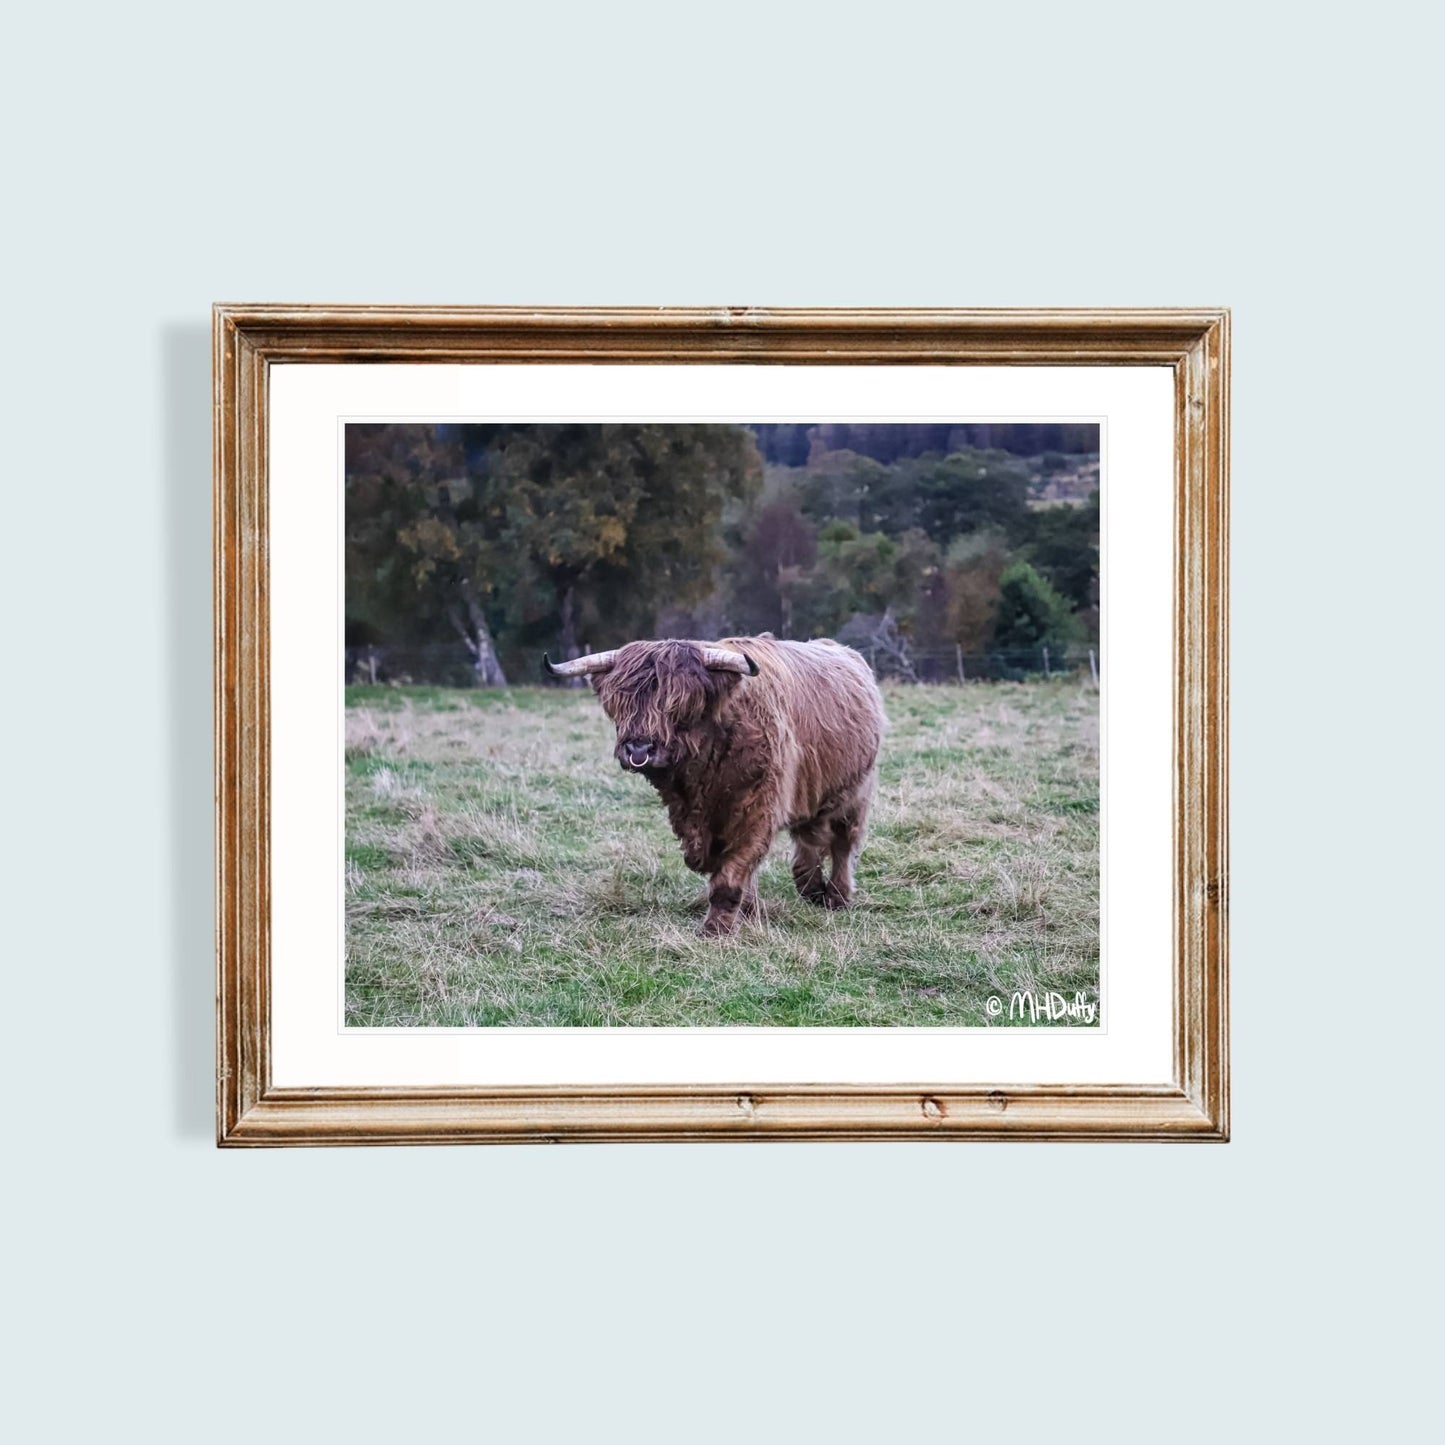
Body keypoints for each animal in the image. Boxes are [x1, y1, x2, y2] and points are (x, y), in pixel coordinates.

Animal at [545, 635, 885, 937]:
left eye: (680, 705)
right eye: (619, 704)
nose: (638, 749)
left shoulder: (757, 809)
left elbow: (732, 873)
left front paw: (716, 928)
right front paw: (749, 911)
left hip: (855, 793)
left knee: (842, 843)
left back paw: (837, 896)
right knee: (809, 836)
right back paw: (810, 887)